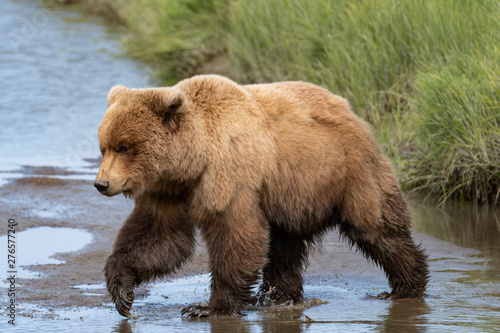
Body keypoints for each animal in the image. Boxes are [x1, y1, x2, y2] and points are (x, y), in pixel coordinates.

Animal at [94, 74, 430, 316]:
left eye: (124, 147)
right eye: (104, 146)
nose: (102, 183)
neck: (191, 162)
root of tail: (350, 110)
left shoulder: (229, 177)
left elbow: (235, 234)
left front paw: (207, 307)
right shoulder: (167, 191)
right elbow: (159, 238)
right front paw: (122, 292)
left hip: (347, 171)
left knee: (376, 227)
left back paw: (406, 285)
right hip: (291, 197)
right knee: (284, 245)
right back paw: (277, 297)